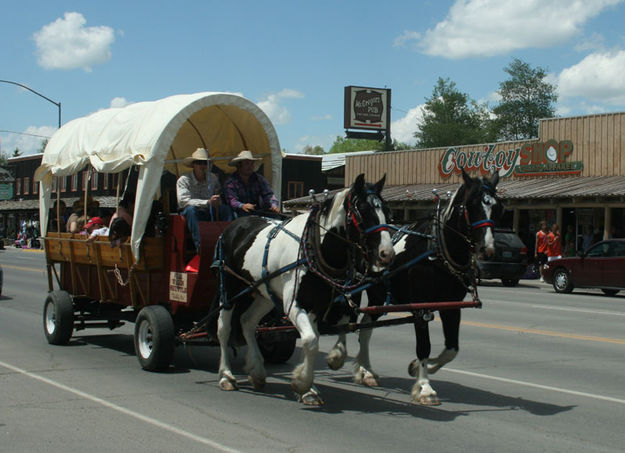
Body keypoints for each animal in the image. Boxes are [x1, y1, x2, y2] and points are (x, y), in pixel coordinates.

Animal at [212, 174, 392, 406]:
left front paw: (313, 382)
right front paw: (303, 384)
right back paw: (226, 375)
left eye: (386, 211)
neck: (315, 247)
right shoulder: (295, 306)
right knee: (223, 329)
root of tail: (234, 225)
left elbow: (319, 341)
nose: (387, 254)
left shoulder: (317, 306)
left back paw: (257, 371)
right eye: (363, 212)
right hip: (229, 290)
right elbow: (310, 341)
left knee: (247, 322)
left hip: (264, 294)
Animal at [326, 168, 502, 404]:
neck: (437, 249)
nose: (487, 249)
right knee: (348, 320)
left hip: (378, 295)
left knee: (365, 327)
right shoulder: (421, 306)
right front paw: (425, 388)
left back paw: (366, 371)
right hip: (351, 286)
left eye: (498, 207)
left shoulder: (451, 306)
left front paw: (416, 367)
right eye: (472, 205)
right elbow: (424, 346)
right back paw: (338, 355)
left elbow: (452, 349)